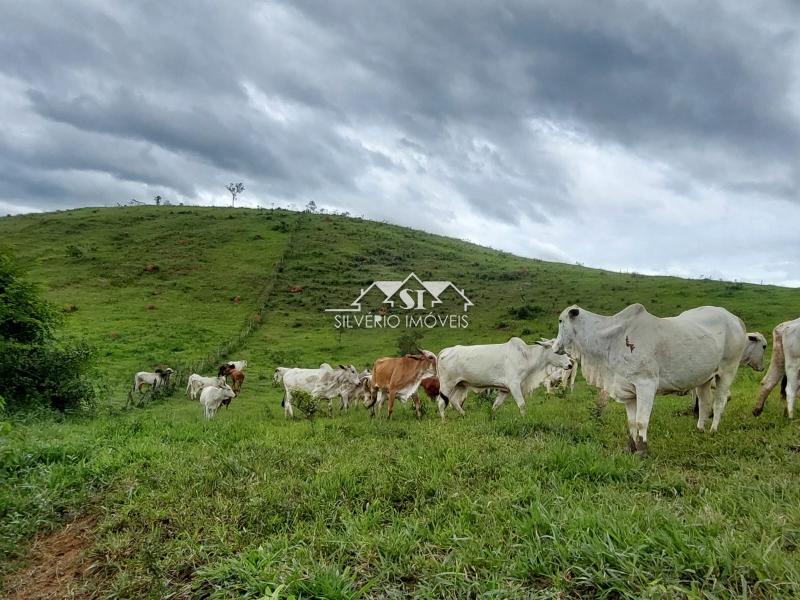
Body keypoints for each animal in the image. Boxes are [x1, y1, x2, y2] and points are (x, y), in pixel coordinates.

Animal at [438, 338, 576, 418]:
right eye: (559, 351)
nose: (570, 364)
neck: (526, 356)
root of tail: (445, 351)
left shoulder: (504, 390)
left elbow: (496, 405)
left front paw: (491, 416)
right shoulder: (514, 385)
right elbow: (522, 404)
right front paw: (524, 419)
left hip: (460, 384)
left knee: (454, 401)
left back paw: (464, 415)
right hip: (447, 384)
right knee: (441, 402)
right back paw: (444, 421)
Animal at [556, 304, 752, 454]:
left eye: (560, 321)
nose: (556, 346)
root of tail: (735, 319)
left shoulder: (646, 384)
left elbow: (641, 421)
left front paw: (642, 450)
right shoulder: (628, 389)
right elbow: (631, 422)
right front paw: (631, 447)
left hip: (727, 370)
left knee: (719, 402)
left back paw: (713, 430)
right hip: (704, 377)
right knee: (704, 403)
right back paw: (700, 429)